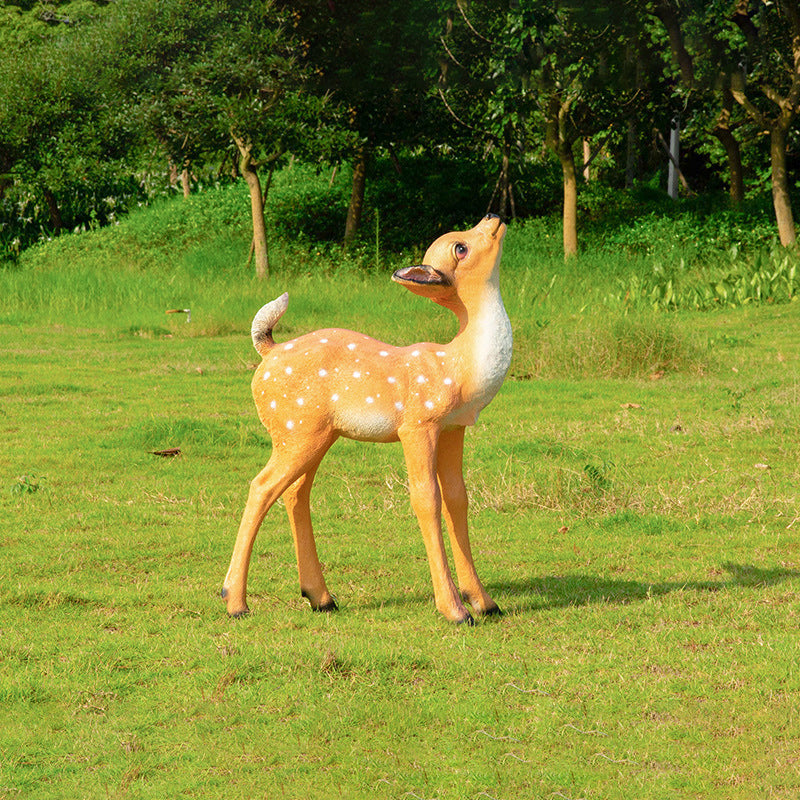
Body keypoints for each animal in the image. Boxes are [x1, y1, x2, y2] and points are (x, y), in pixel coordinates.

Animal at [221, 214, 512, 624]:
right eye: (460, 247)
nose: (493, 217)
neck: (458, 365)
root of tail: (268, 352)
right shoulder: (418, 424)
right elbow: (426, 498)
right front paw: (455, 610)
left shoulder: (454, 428)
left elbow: (458, 499)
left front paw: (485, 602)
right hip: (296, 429)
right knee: (262, 486)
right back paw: (235, 602)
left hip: (316, 433)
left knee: (295, 492)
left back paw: (321, 597)